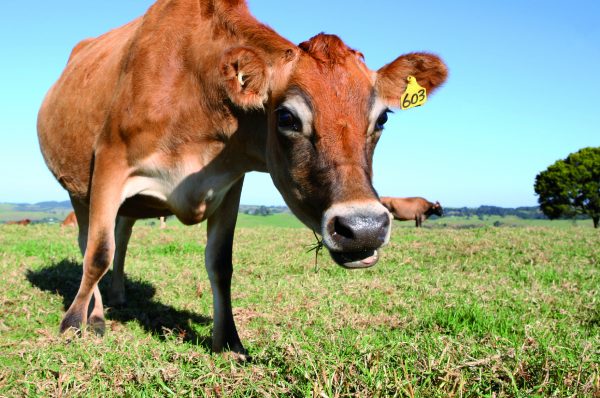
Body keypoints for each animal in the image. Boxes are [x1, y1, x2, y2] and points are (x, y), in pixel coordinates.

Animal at [34, 0, 446, 354]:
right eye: (287, 117)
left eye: (383, 118)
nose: (363, 229)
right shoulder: (109, 163)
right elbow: (97, 254)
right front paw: (74, 324)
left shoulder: (230, 183)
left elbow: (221, 264)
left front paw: (229, 342)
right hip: (78, 190)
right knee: (90, 243)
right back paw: (97, 315)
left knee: (123, 235)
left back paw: (118, 295)